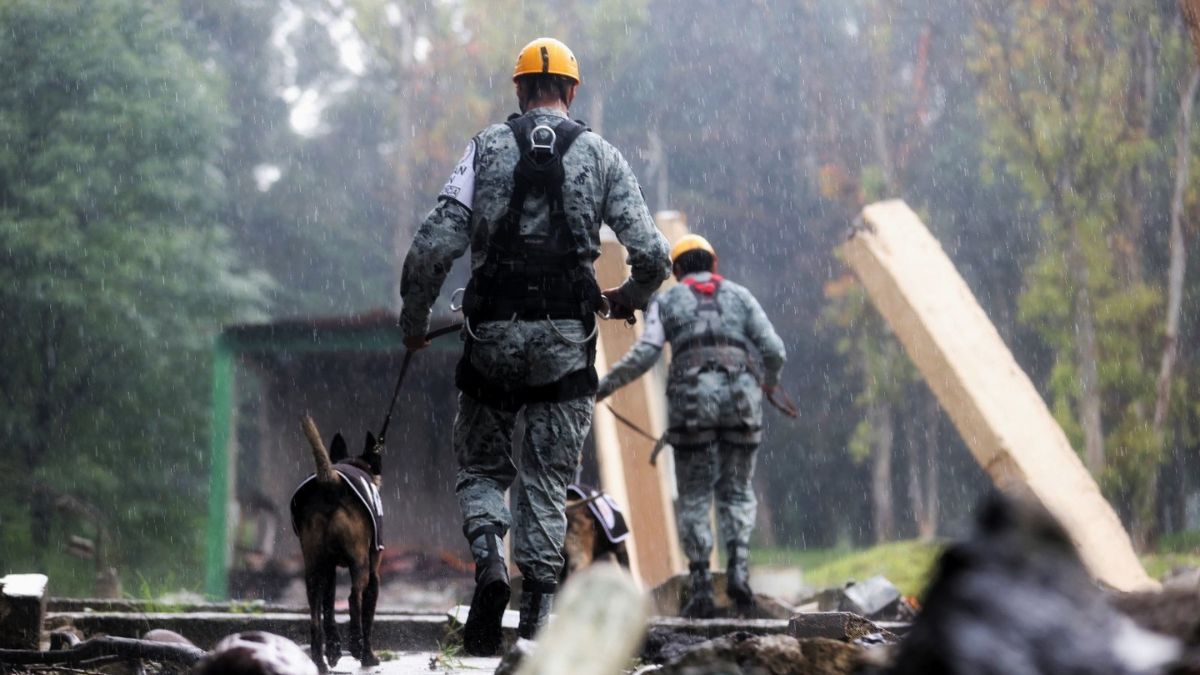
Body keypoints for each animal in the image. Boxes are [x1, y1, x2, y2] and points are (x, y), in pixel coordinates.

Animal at [290, 413, 384, 667]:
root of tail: (330, 481)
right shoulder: (374, 572)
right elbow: (368, 614)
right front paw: (369, 655)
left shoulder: (329, 569)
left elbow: (329, 606)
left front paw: (334, 648)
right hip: (360, 563)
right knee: (353, 598)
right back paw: (356, 646)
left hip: (314, 568)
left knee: (317, 615)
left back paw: (324, 657)